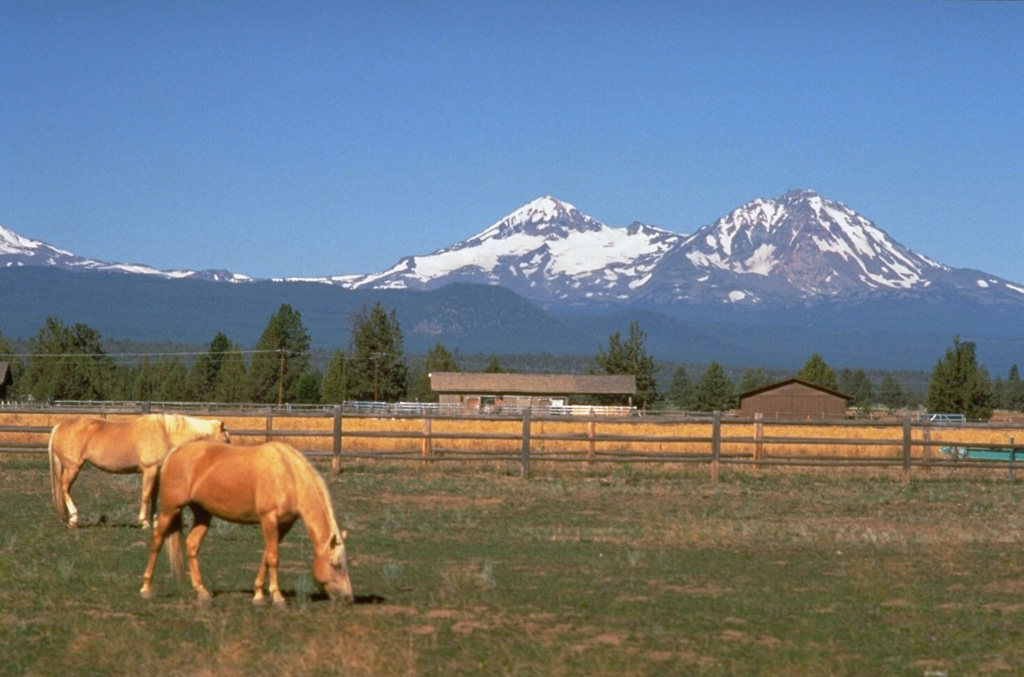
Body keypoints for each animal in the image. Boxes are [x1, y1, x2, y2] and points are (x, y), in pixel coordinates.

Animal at [48, 411, 230, 528]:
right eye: (226, 439)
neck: (166, 433)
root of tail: (59, 426)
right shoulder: (150, 470)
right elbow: (146, 494)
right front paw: (144, 521)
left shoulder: (157, 472)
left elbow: (154, 496)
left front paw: (155, 521)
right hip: (72, 468)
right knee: (64, 488)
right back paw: (73, 518)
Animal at [139, 440, 356, 606]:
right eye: (336, 565)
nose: (348, 598)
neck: (287, 475)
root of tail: (173, 453)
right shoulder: (268, 519)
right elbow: (274, 557)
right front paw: (277, 596)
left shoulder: (284, 524)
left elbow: (267, 555)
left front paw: (259, 594)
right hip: (170, 510)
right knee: (157, 540)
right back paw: (146, 588)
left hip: (202, 514)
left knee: (192, 545)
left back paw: (202, 591)